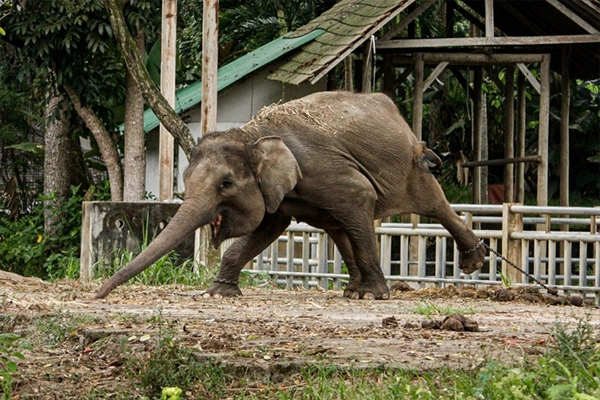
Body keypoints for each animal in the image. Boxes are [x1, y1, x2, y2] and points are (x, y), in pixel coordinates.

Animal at [96, 89, 486, 298]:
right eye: (187, 178)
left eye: (225, 184)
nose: (99, 292)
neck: (252, 134)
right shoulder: (279, 193)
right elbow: (268, 228)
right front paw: (217, 293)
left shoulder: (326, 170)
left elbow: (360, 196)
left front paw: (374, 296)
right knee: (339, 226)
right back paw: (350, 290)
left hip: (411, 165)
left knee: (431, 203)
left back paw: (473, 262)